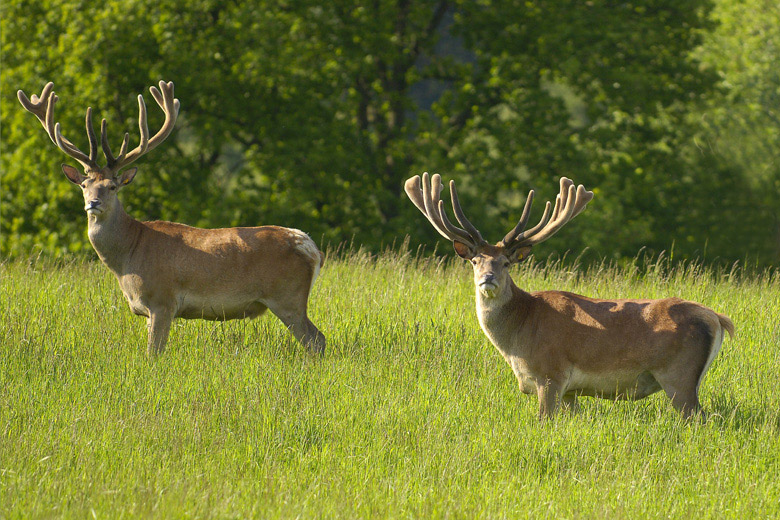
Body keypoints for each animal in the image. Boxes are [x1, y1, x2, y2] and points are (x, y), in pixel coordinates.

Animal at [18, 82, 324, 358]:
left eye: (112, 186)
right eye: (84, 185)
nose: (93, 203)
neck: (128, 256)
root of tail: (311, 248)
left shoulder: (162, 300)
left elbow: (154, 354)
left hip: (287, 297)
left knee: (316, 339)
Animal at [406, 174, 736, 418]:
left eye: (506, 263)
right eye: (475, 261)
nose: (488, 278)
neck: (517, 339)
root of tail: (717, 318)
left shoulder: (551, 373)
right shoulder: (571, 391)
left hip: (679, 375)